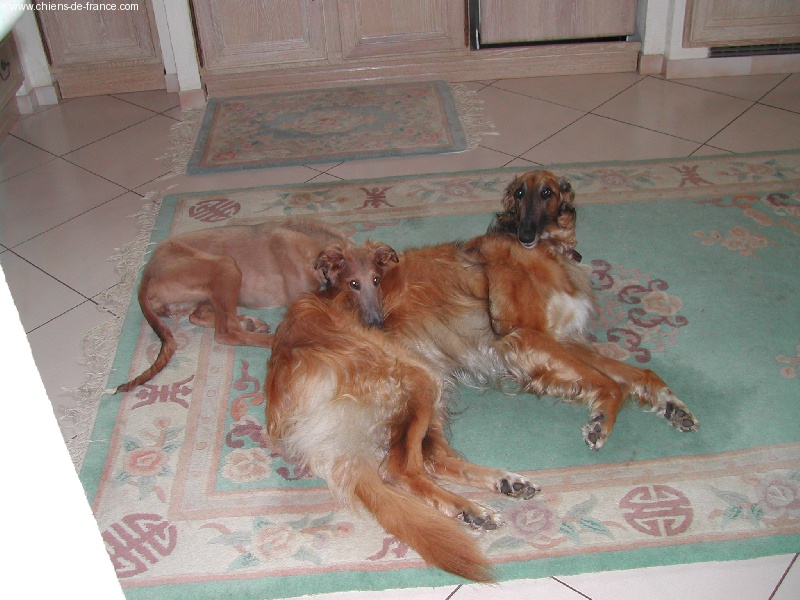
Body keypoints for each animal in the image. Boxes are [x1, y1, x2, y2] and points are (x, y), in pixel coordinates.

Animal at [116, 218, 347, 393]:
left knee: (200, 316)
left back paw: (250, 322)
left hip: (210, 290)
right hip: (225, 266)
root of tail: (146, 273)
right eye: (353, 284)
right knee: (227, 331)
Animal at [265, 241, 539, 582]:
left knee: (432, 458)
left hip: (421, 394)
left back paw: (498, 488)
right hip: (417, 376)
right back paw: (472, 508)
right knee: (400, 468)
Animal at [380, 170, 698, 450]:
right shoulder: (527, 336)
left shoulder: (563, 339)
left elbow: (641, 373)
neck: (551, 251)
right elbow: (612, 384)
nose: (526, 235)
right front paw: (601, 420)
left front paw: (673, 405)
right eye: (519, 193)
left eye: (547, 192)